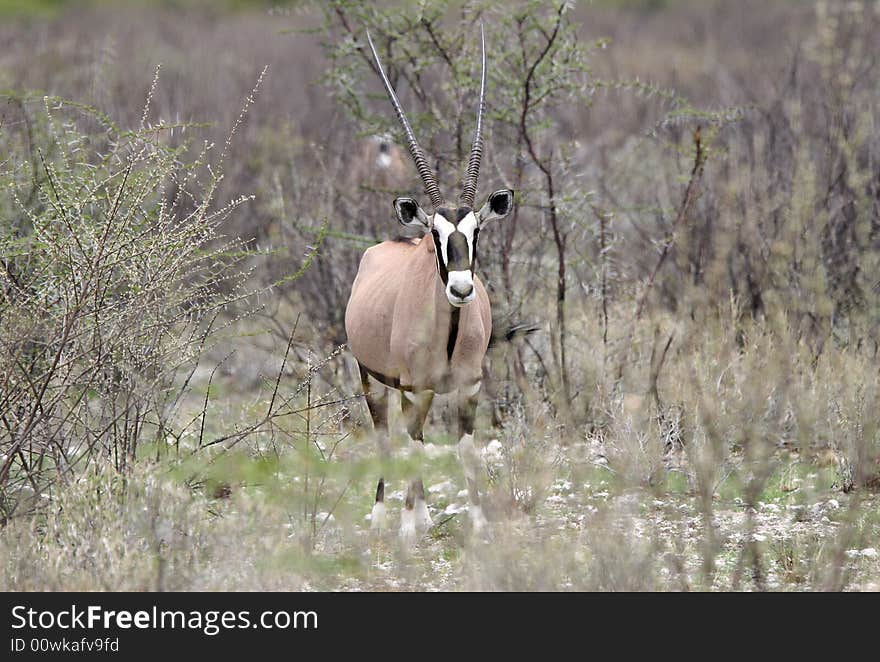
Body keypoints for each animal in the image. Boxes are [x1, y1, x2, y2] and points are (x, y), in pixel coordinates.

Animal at [346, 28, 516, 544]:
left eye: (476, 231)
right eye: (436, 237)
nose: (461, 289)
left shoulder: (469, 388)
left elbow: (465, 451)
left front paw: (478, 524)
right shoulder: (412, 388)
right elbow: (412, 448)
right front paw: (405, 529)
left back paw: (419, 513)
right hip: (373, 379)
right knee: (389, 440)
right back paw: (384, 517)